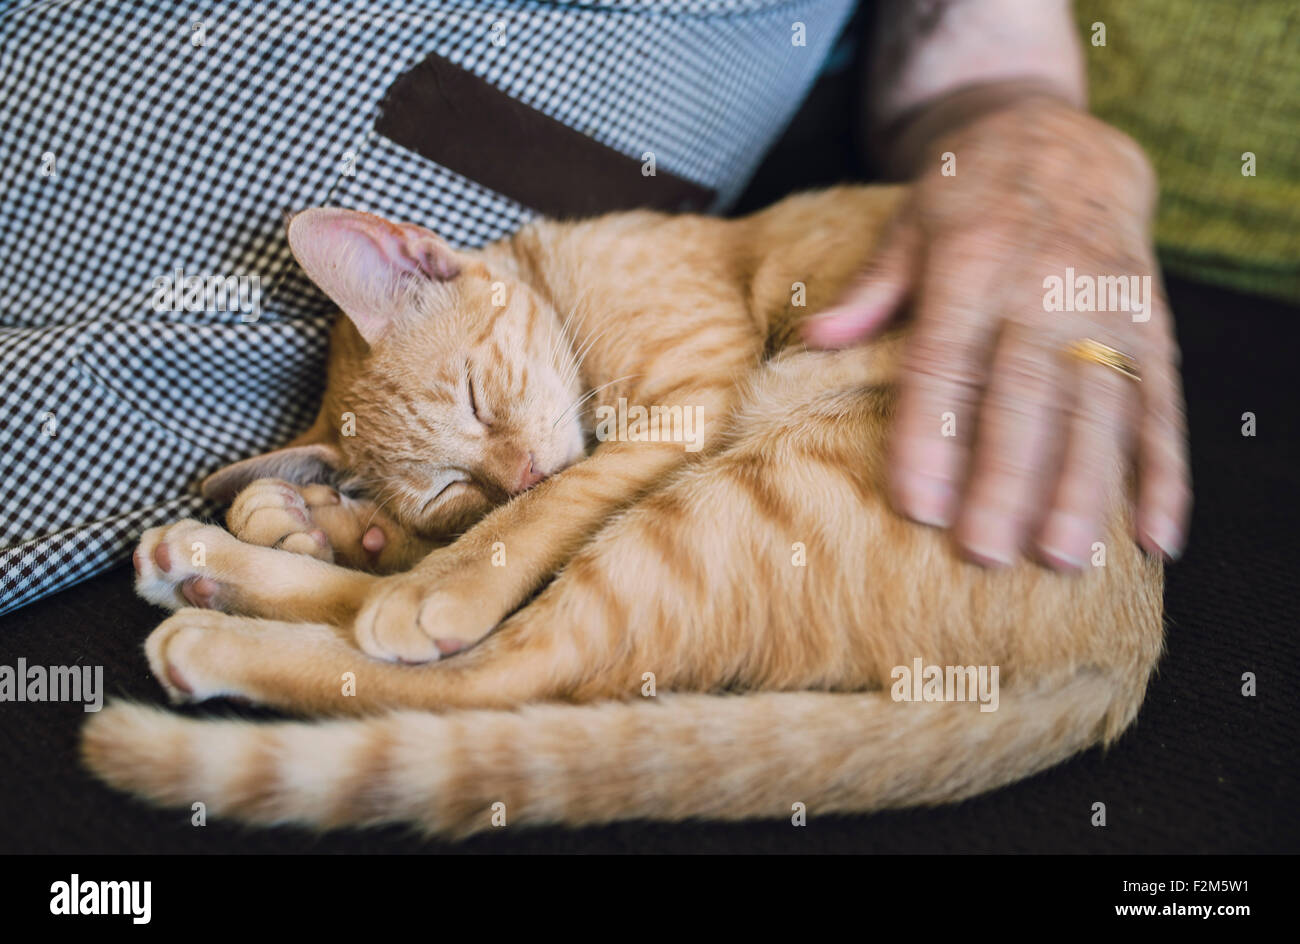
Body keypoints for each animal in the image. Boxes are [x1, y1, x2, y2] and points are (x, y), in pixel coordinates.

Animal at [81, 188, 1164, 837]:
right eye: (447, 483)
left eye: (475, 396)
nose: (511, 471)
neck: (567, 281)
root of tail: (1123, 656)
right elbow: (490, 535)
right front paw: (365, 526)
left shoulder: (684, 409)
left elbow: (539, 515)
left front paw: (431, 569)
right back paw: (233, 552)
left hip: (745, 484)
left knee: (492, 669)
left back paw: (226, 620)